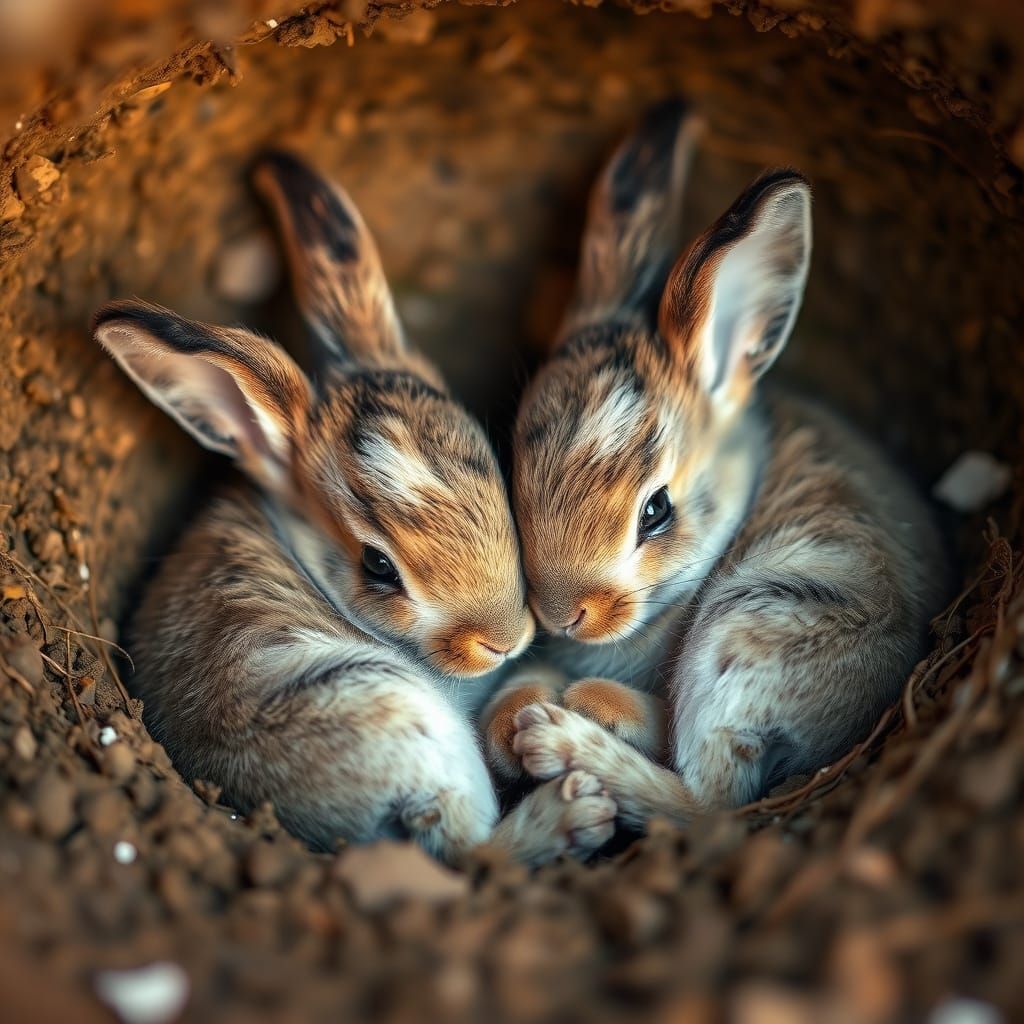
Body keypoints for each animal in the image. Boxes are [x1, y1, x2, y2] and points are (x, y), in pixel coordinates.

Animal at [490, 99, 949, 828]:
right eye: (515, 468)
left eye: (656, 511)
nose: (564, 617)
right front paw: (508, 716)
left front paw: (547, 717)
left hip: (753, 616)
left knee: (706, 800)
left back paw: (564, 737)